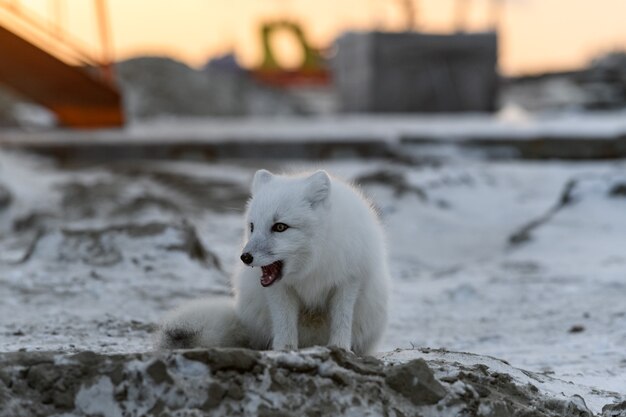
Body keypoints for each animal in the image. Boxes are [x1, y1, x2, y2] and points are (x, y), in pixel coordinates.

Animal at [156, 169, 388, 354]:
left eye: (280, 227)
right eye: (252, 226)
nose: (245, 257)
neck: (310, 268)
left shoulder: (348, 281)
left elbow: (342, 320)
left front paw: (339, 348)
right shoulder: (279, 290)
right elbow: (284, 325)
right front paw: (285, 351)